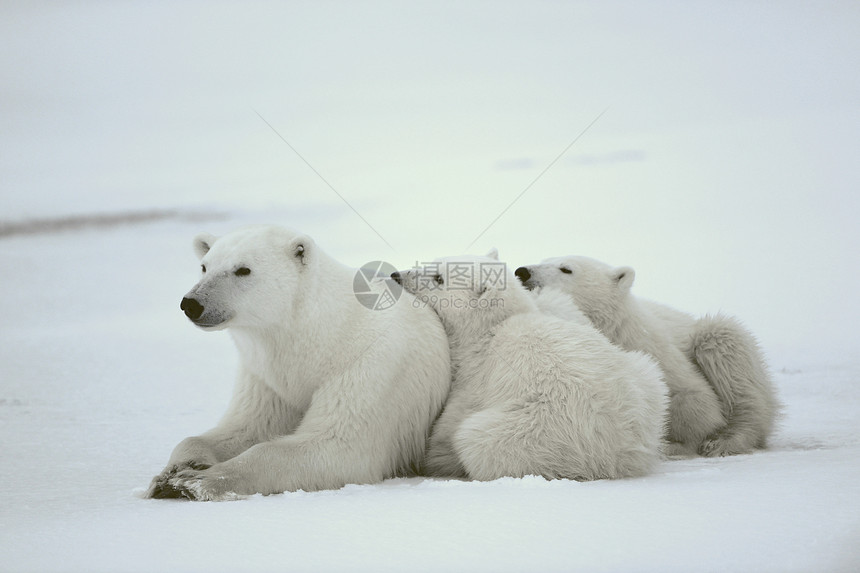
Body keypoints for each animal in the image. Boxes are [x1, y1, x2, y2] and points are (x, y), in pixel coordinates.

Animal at [145, 226, 450, 498]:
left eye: (243, 269)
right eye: (204, 266)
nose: (192, 303)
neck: (324, 335)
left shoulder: (376, 366)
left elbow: (338, 446)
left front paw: (193, 482)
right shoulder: (267, 378)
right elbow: (246, 428)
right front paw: (174, 472)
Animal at [394, 252, 668, 480]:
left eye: (438, 278)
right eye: (433, 262)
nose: (397, 275)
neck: (489, 330)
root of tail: (622, 450)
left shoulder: (476, 375)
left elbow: (448, 426)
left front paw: (435, 456)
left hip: (533, 428)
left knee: (477, 441)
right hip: (645, 379)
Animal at [516, 256, 780, 456]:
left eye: (566, 268)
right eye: (544, 259)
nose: (523, 271)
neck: (612, 328)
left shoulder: (649, 348)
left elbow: (696, 398)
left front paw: (676, 442)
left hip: (717, 338)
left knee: (727, 350)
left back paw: (724, 441)